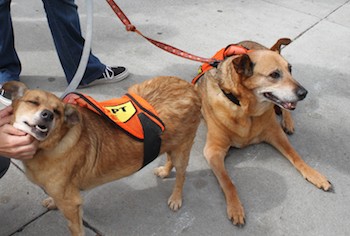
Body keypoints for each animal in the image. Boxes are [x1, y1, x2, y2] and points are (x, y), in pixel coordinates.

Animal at [4, 76, 201, 235]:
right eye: (32, 102)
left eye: (57, 112)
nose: (48, 115)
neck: (55, 141)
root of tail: (190, 87)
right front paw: (52, 201)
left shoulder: (71, 205)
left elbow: (75, 229)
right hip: (171, 141)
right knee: (169, 157)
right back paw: (165, 172)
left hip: (182, 149)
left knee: (181, 175)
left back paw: (176, 197)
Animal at [196, 39, 332, 227]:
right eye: (274, 74)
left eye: (290, 69)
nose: (304, 93)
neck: (245, 110)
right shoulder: (213, 150)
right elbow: (228, 181)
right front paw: (235, 207)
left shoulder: (275, 134)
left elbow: (296, 156)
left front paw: (314, 174)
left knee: (285, 108)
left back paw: (288, 122)